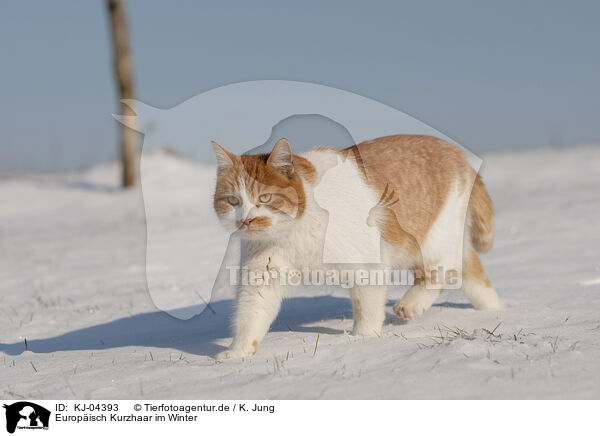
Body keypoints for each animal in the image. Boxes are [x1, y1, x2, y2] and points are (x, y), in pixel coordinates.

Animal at [212, 135, 502, 360]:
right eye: (232, 201)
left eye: (265, 197)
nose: (245, 220)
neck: (295, 232)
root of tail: (456, 152)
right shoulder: (262, 275)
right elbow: (251, 316)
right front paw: (238, 353)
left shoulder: (367, 265)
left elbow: (368, 309)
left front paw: (363, 340)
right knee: (471, 269)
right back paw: (493, 310)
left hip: (430, 240)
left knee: (444, 271)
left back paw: (411, 305)